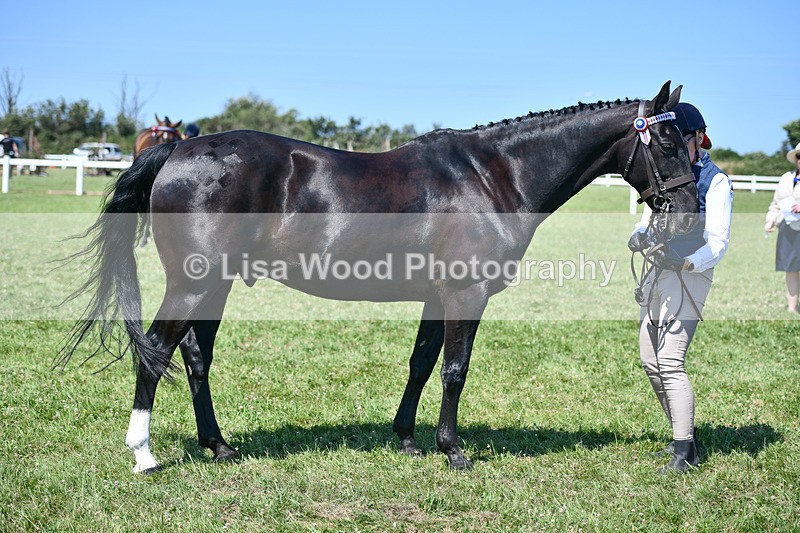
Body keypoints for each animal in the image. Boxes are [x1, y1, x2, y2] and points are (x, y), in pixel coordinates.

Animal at [59, 81, 698, 474]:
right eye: (669, 141)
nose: (690, 213)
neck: (494, 176)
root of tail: (178, 152)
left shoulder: (437, 296)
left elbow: (421, 362)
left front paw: (409, 439)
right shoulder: (465, 292)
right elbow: (455, 370)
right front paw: (454, 451)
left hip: (214, 285)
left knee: (194, 356)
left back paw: (218, 446)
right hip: (193, 284)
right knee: (154, 351)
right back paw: (144, 454)